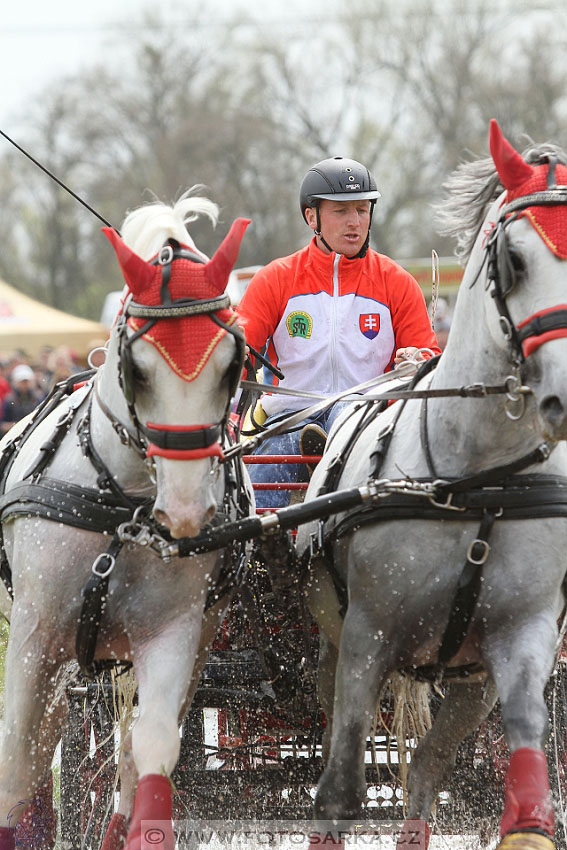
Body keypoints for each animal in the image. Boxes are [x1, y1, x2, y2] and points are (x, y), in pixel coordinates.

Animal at [0, 192, 253, 848]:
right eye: (138, 368)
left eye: (232, 365)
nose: (186, 510)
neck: (125, 509)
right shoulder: (35, 636)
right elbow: (15, 764)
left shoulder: (173, 632)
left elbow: (153, 753)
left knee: (124, 752)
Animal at [298, 121, 567, 848]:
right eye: (513, 260)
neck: (477, 482)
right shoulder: (367, 637)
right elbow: (338, 789)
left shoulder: (523, 639)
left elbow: (525, 793)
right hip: (332, 644)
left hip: (468, 683)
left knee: (423, 771)